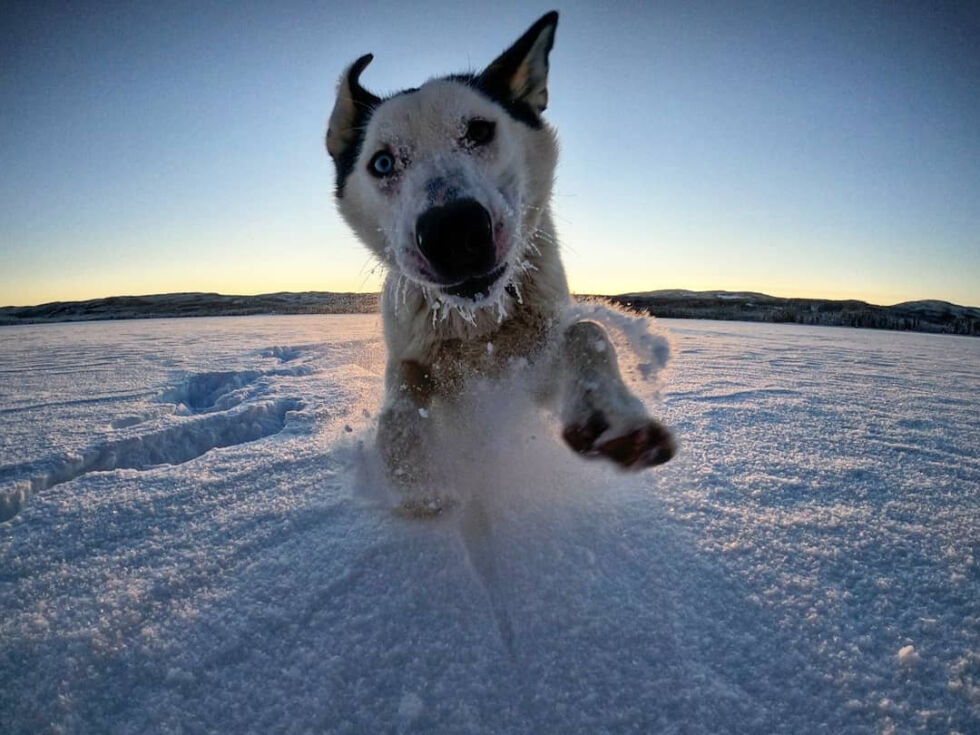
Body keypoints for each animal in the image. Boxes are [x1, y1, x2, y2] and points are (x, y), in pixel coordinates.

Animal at [326, 12, 676, 516]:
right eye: (383, 162)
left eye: (479, 130)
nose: (453, 232)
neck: (481, 324)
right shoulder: (416, 353)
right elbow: (403, 391)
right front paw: (413, 473)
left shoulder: (530, 373)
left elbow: (587, 331)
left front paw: (610, 415)